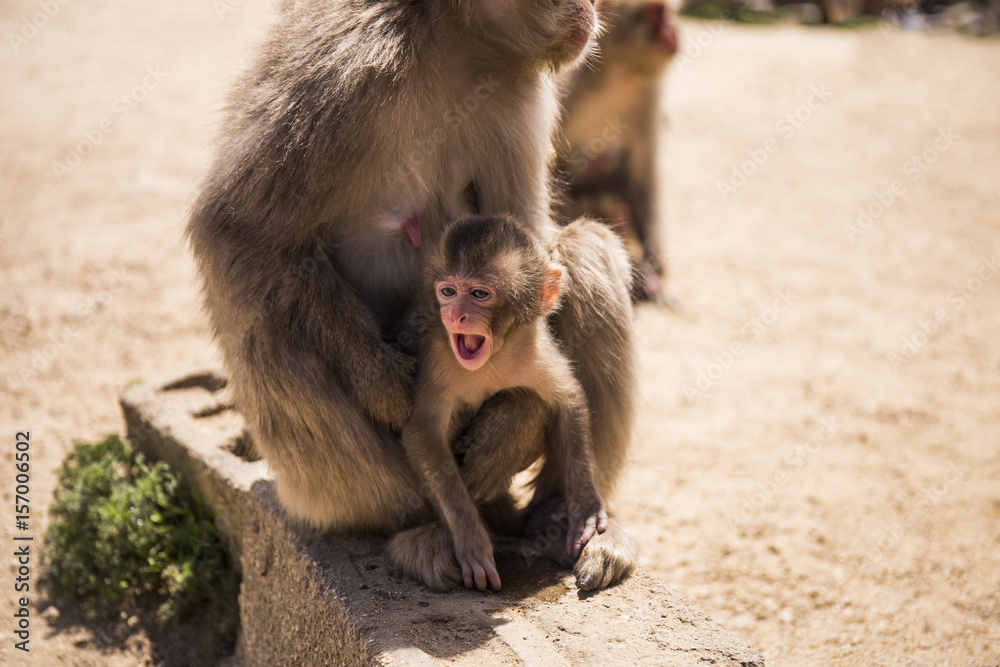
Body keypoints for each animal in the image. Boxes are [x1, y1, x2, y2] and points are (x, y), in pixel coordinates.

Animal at [395, 215, 609, 591]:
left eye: (480, 294)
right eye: (448, 291)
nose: (455, 315)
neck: (493, 356)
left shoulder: (535, 352)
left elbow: (568, 400)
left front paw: (584, 505)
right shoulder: (439, 358)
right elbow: (423, 431)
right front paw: (471, 539)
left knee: (524, 401)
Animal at [557, 1, 679, 305]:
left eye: (668, 13)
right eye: (655, 13)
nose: (672, 31)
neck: (619, 74)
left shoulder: (648, 92)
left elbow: (642, 175)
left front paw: (654, 269)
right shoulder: (567, 88)